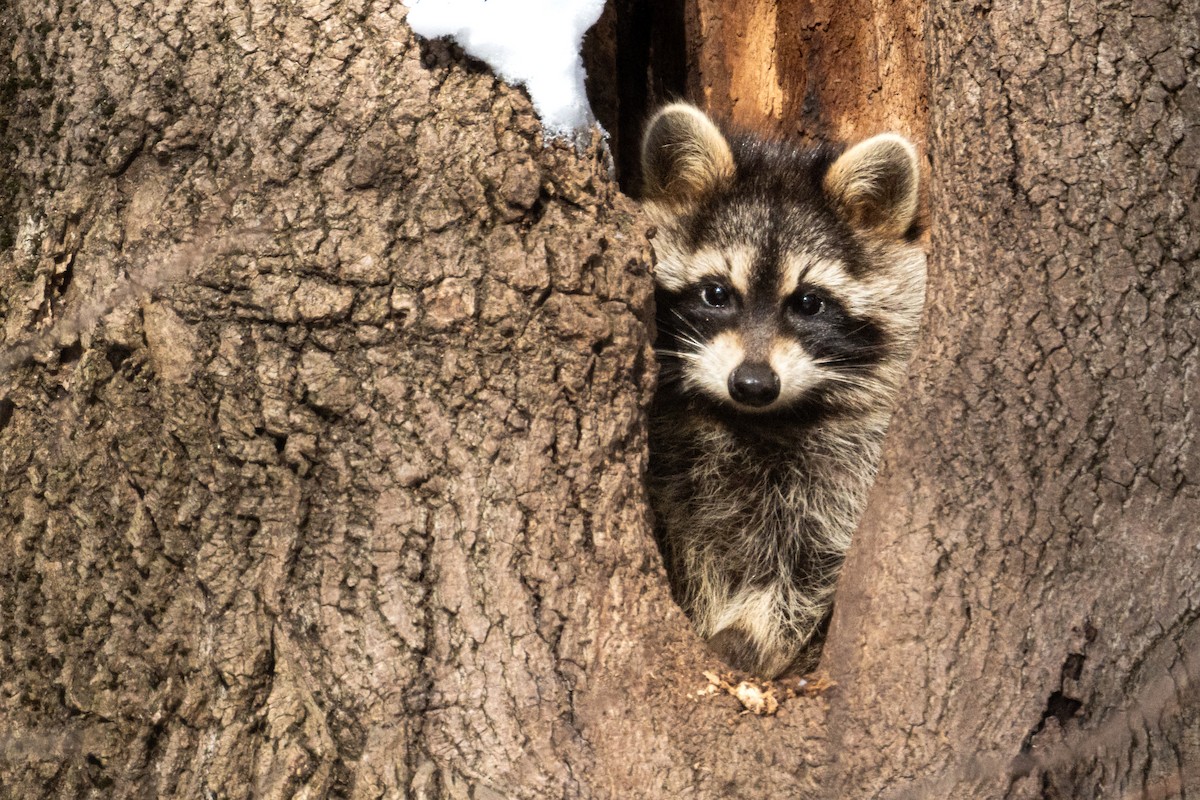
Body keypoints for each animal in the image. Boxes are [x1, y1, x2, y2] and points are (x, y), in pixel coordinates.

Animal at [641, 104, 926, 678]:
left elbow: (817, 559)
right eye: (716, 294)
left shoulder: (850, 464)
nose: (753, 384)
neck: (755, 421)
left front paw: (753, 632)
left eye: (809, 303)